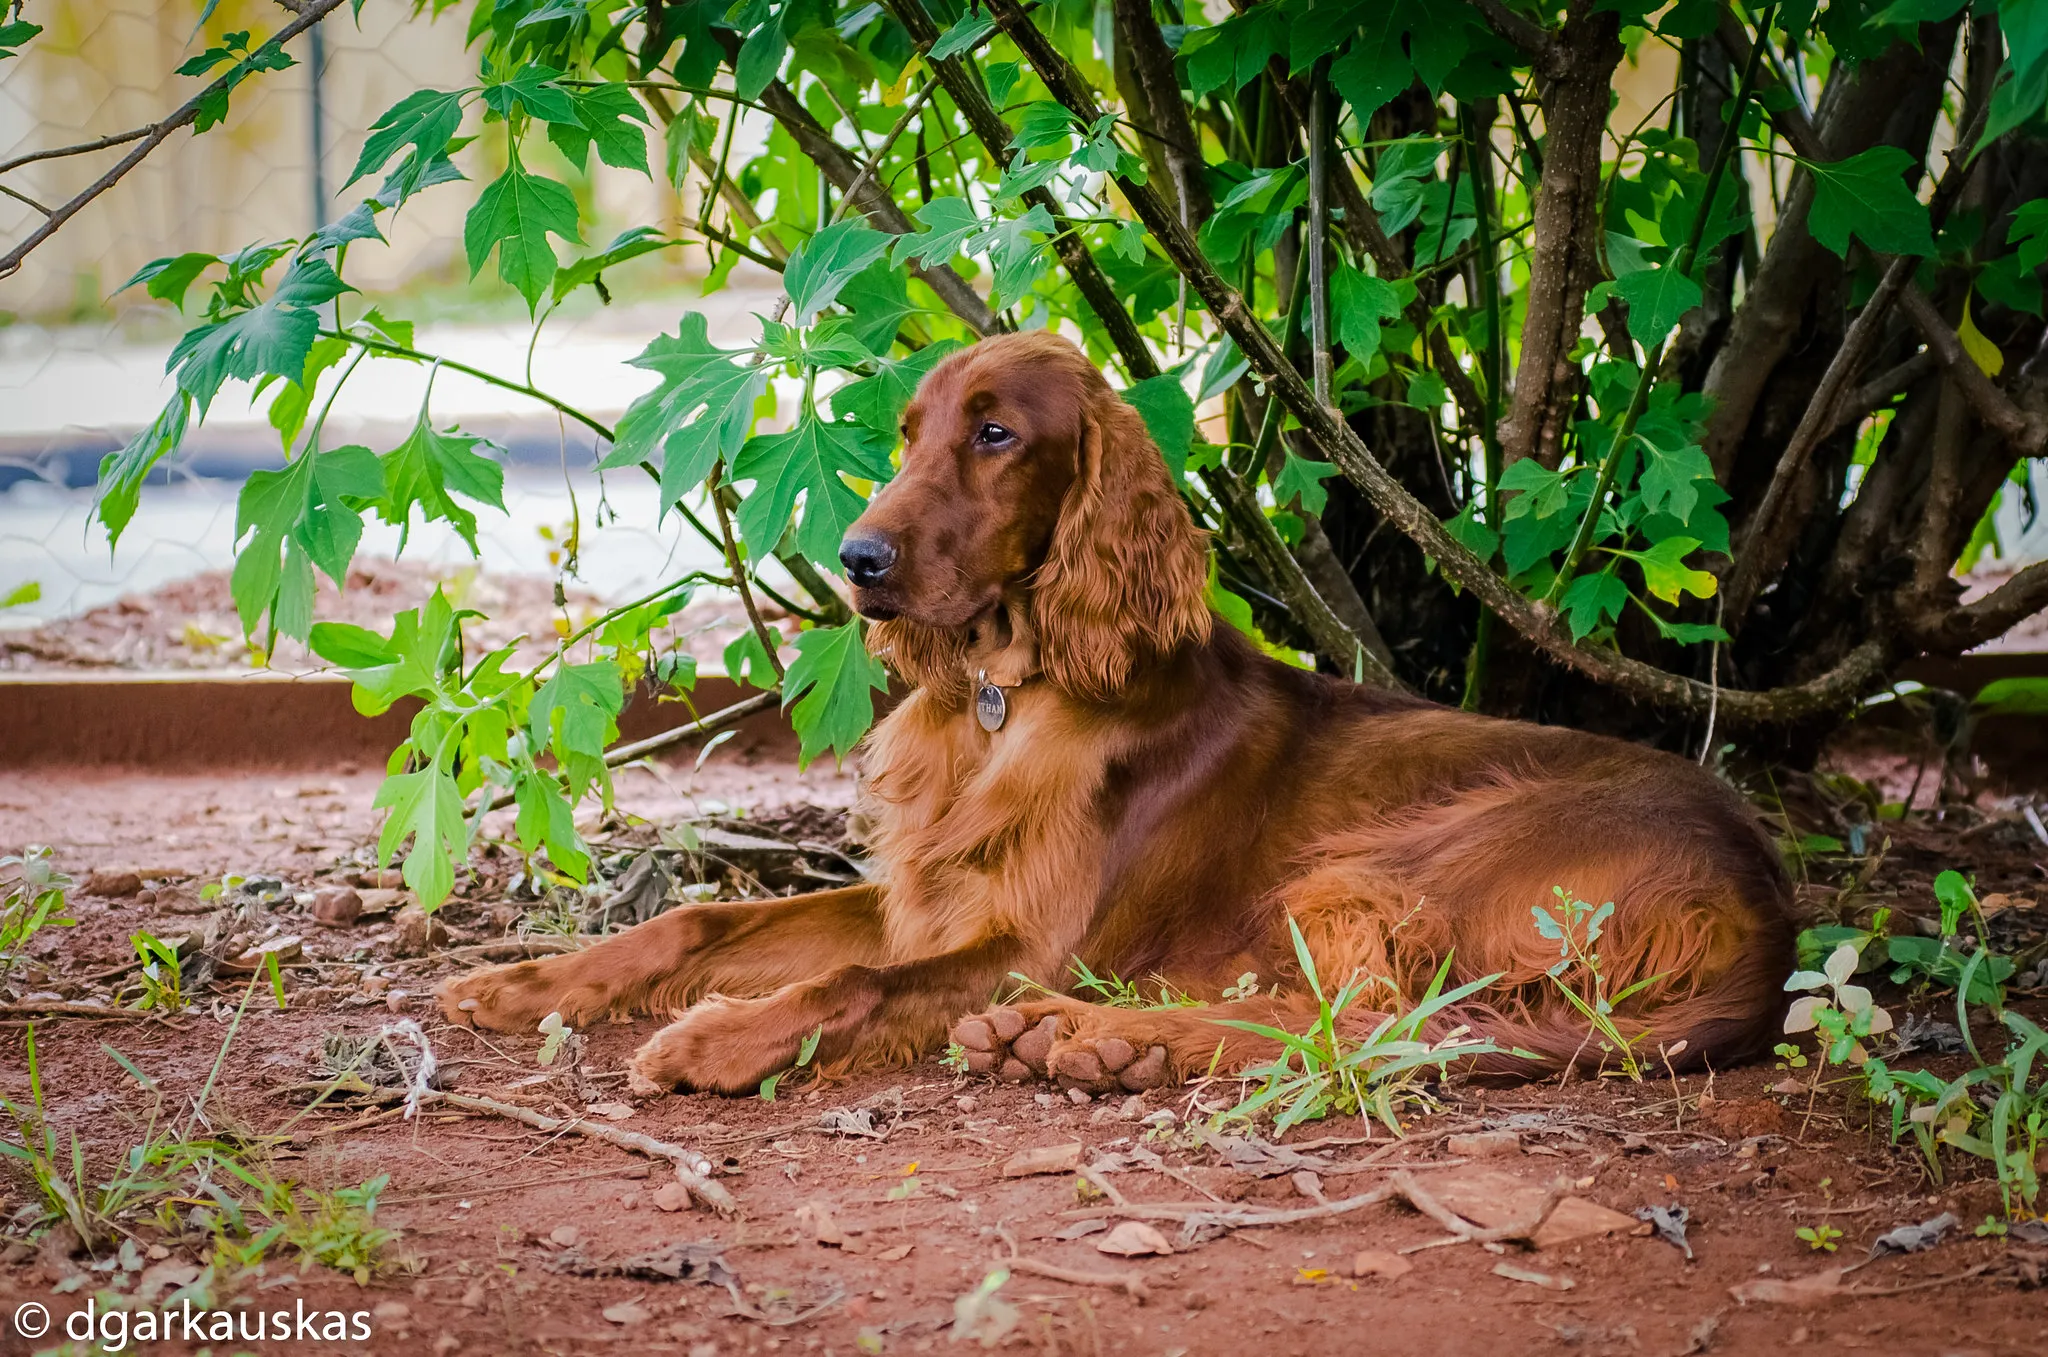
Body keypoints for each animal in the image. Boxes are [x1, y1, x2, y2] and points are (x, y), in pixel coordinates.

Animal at [436, 333, 1794, 1097]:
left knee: (1372, 1021)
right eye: (909, 434)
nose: (857, 558)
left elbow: (857, 984)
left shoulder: (1027, 939)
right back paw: (1099, 1045)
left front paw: (715, 1041)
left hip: (1394, 864)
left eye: (995, 433)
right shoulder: (923, 895)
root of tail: (1768, 912)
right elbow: (702, 921)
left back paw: (1082, 1035)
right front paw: (529, 980)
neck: (1009, 694)